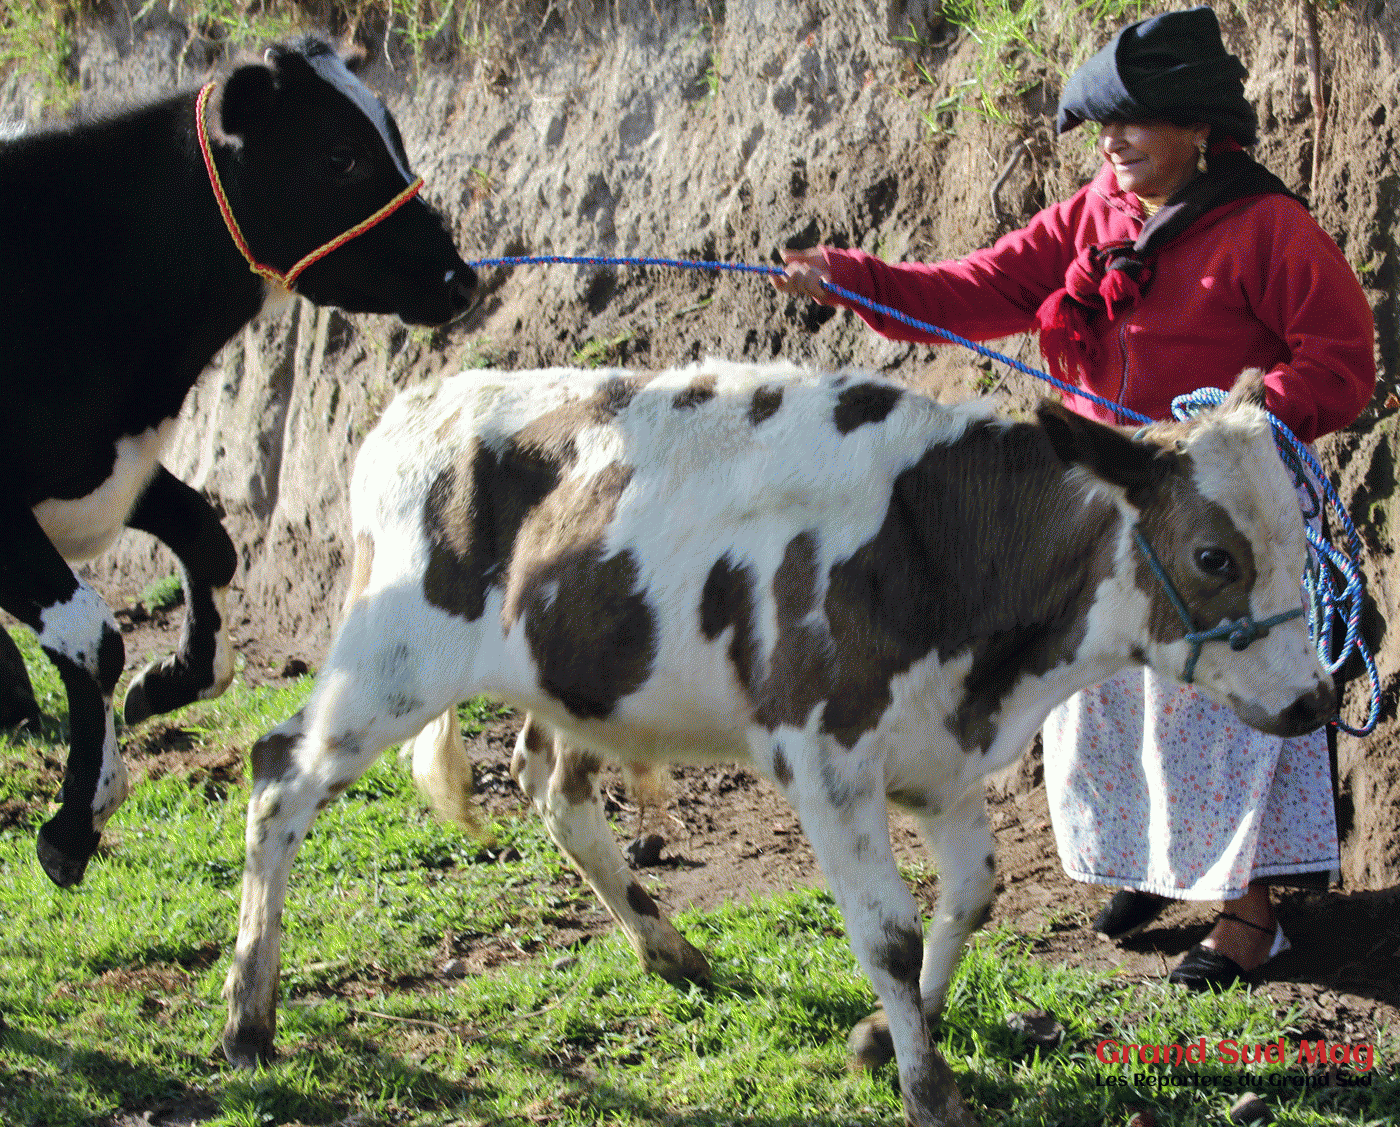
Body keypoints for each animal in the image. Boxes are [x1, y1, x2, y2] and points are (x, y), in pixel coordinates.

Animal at [0, 39, 476, 890]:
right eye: (341, 155)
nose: (460, 277)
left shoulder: (111, 463)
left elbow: (209, 540)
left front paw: (167, 681)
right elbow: (93, 634)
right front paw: (76, 819)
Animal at [221, 361, 1332, 1125]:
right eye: (1213, 555)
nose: (1316, 700)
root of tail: (427, 398)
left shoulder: (938, 757)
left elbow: (972, 893)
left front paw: (884, 1035)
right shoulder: (826, 757)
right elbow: (886, 931)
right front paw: (929, 1087)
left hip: (568, 678)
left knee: (551, 788)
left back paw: (669, 948)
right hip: (391, 659)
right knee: (279, 777)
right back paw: (247, 1015)